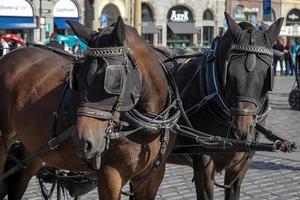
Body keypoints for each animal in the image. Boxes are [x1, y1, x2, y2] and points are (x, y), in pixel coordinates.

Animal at [0, 16, 177, 198]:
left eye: (114, 79)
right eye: (77, 76)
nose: (82, 142)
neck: (149, 126)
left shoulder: (153, 176)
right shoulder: (110, 176)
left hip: (32, 148)